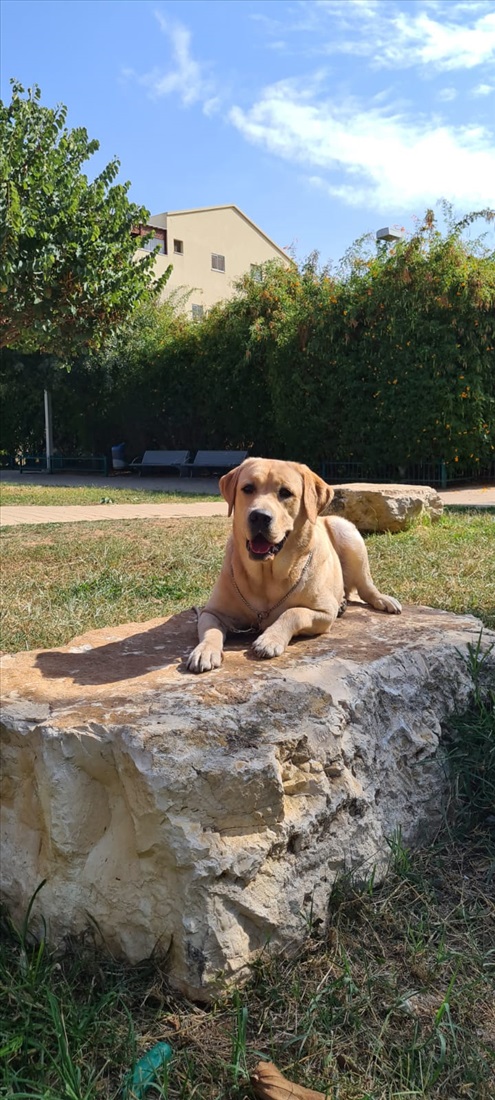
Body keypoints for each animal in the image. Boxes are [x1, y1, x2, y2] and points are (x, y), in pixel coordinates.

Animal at [188, 455, 400, 668]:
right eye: (247, 488)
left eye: (285, 493)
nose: (259, 516)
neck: (267, 575)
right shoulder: (211, 612)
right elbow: (211, 631)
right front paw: (205, 650)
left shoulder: (324, 612)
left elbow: (293, 612)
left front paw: (270, 639)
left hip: (346, 531)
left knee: (365, 586)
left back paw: (381, 599)